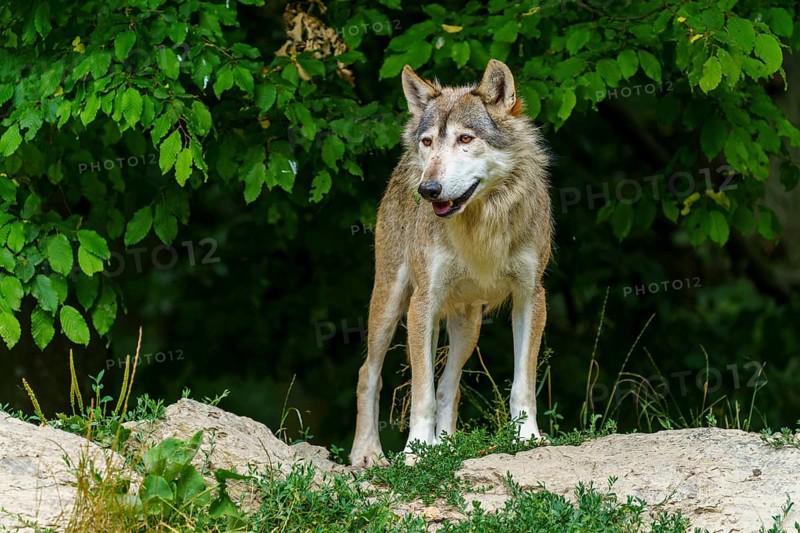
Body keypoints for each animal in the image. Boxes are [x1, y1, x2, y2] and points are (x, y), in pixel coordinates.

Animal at [350, 59, 552, 467]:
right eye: (429, 142)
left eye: (465, 139)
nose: (428, 190)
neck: (481, 224)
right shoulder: (423, 303)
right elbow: (420, 393)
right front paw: (415, 451)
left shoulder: (531, 296)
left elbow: (522, 384)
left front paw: (527, 438)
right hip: (391, 304)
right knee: (369, 374)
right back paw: (368, 454)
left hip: (468, 325)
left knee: (448, 385)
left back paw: (447, 446)